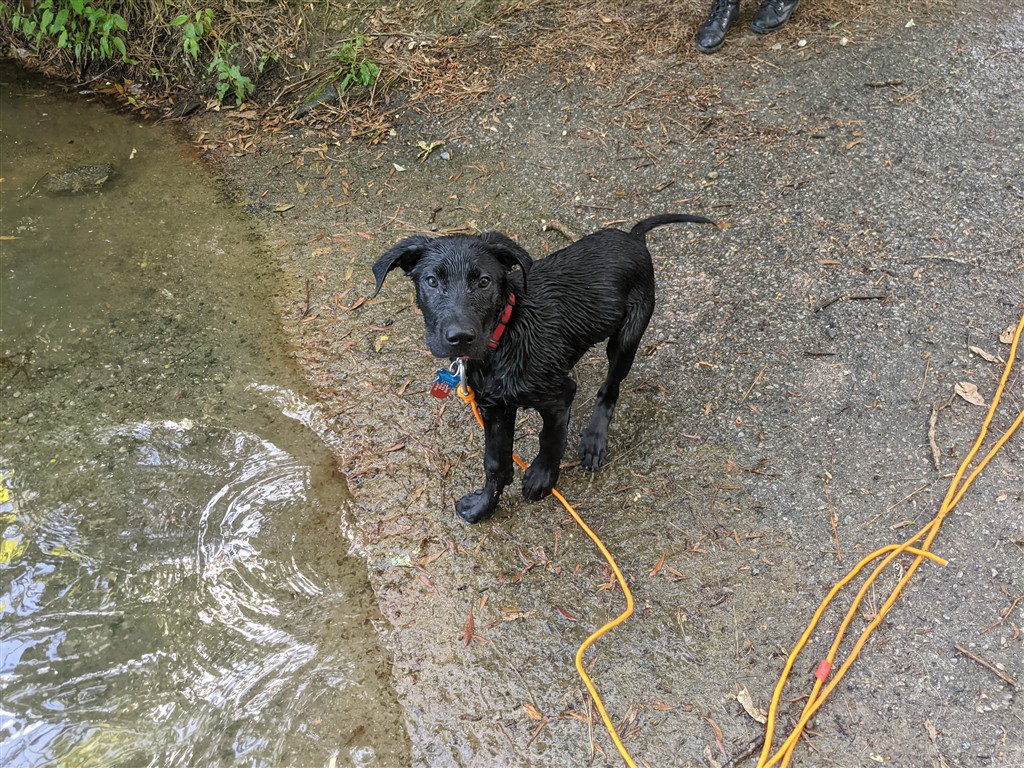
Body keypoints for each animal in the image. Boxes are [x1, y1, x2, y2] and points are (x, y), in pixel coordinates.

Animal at [372, 214, 716, 523]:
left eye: (484, 281)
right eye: (431, 281)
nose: (461, 338)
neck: (504, 336)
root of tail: (632, 238)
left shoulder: (559, 395)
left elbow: (550, 439)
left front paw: (542, 477)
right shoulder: (493, 407)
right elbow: (496, 462)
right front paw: (485, 505)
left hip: (627, 336)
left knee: (610, 388)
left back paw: (594, 440)